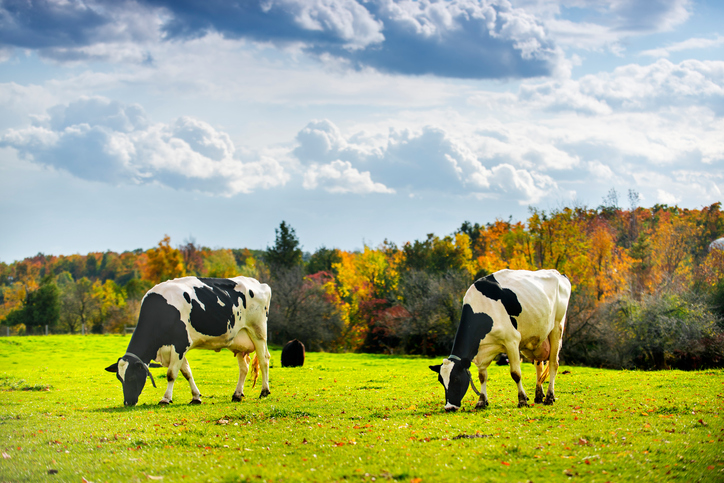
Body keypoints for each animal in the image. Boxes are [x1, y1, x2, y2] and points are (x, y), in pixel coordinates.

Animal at [105, 276, 272, 407]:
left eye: (132, 377)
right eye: (119, 378)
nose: (128, 402)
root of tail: (259, 284)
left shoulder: (180, 344)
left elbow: (171, 374)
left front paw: (166, 399)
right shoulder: (177, 348)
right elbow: (187, 372)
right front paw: (196, 397)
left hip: (258, 332)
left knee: (264, 360)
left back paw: (264, 391)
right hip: (239, 341)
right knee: (244, 367)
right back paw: (237, 394)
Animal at [430, 269, 571, 412]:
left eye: (456, 379)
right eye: (441, 381)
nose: (449, 407)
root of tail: (556, 273)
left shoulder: (512, 341)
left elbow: (516, 373)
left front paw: (522, 400)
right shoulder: (482, 349)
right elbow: (482, 376)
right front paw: (481, 401)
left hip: (557, 327)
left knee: (553, 363)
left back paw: (549, 397)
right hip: (538, 338)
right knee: (539, 366)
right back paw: (538, 396)